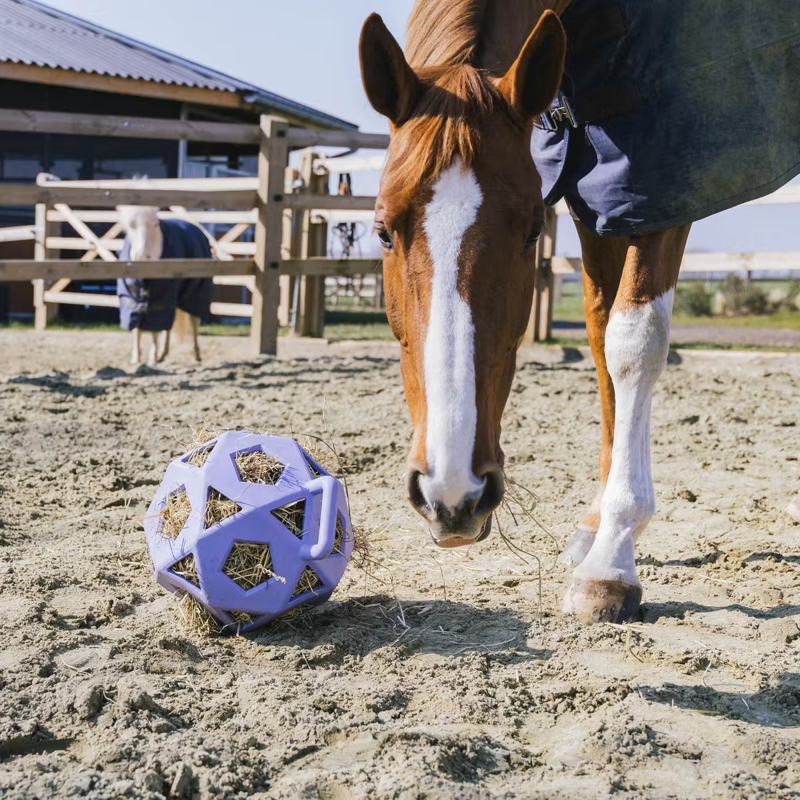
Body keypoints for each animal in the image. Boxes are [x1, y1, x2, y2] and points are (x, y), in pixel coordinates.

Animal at [117, 206, 214, 367]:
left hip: (194, 291)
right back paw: (163, 354)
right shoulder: (131, 297)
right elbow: (136, 327)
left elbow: (155, 329)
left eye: (155, 224)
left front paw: (152, 359)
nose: (142, 257)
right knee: (169, 325)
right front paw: (136, 358)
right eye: (131, 225)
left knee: (193, 320)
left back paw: (196, 355)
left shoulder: (161, 297)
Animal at [358, 0, 800, 624]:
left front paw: (611, 560)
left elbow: (633, 342)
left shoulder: (662, 186)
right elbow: (599, 334)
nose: (451, 496)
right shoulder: (599, 195)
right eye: (383, 231)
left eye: (530, 233)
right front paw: (595, 528)